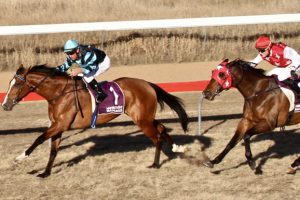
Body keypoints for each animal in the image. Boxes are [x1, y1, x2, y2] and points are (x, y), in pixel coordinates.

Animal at [2, 64, 189, 178]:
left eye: (16, 85)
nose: (5, 105)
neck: (59, 93)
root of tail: (148, 84)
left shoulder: (60, 125)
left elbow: (39, 138)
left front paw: (20, 158)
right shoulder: (58, 127)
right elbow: (53, 150)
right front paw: (45, 173)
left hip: (142, 120)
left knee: (156, 138)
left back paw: (155, 164)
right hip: (145, 117)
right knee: (162, 127)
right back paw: (176, 147)